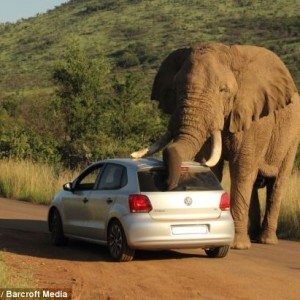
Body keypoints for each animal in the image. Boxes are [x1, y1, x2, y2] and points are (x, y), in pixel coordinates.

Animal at [132, 42, 300, 248]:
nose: (164, 184)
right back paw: (253, 237)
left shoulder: (255, 120)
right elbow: (213, 166)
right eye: (176, 88)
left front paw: (236, 245)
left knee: (275, 183)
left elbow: (241, 169)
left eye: (223, 90)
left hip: (292, 138)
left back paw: (266, 240)